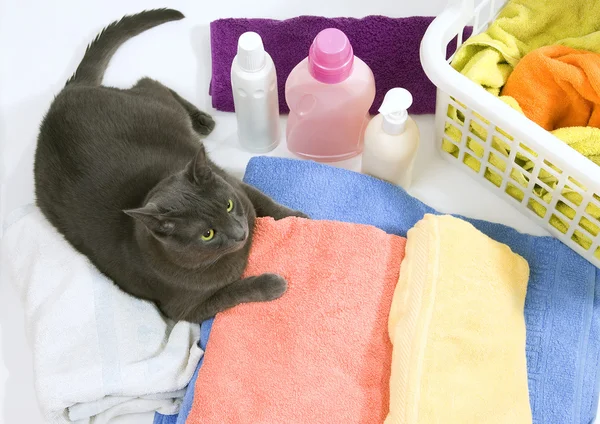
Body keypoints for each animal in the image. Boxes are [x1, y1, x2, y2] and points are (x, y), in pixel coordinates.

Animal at [35, 9, 308, 322]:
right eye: (207, 234)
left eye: (228, 205)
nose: (241, 233)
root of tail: (64, 96)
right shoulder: (186, 309)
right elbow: (234, 292)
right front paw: (272, 284)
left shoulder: (235, 186)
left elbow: (264, 201)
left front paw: (300, 217)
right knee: (147, 81)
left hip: (156, 108)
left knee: (148, 81)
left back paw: (203, 119)